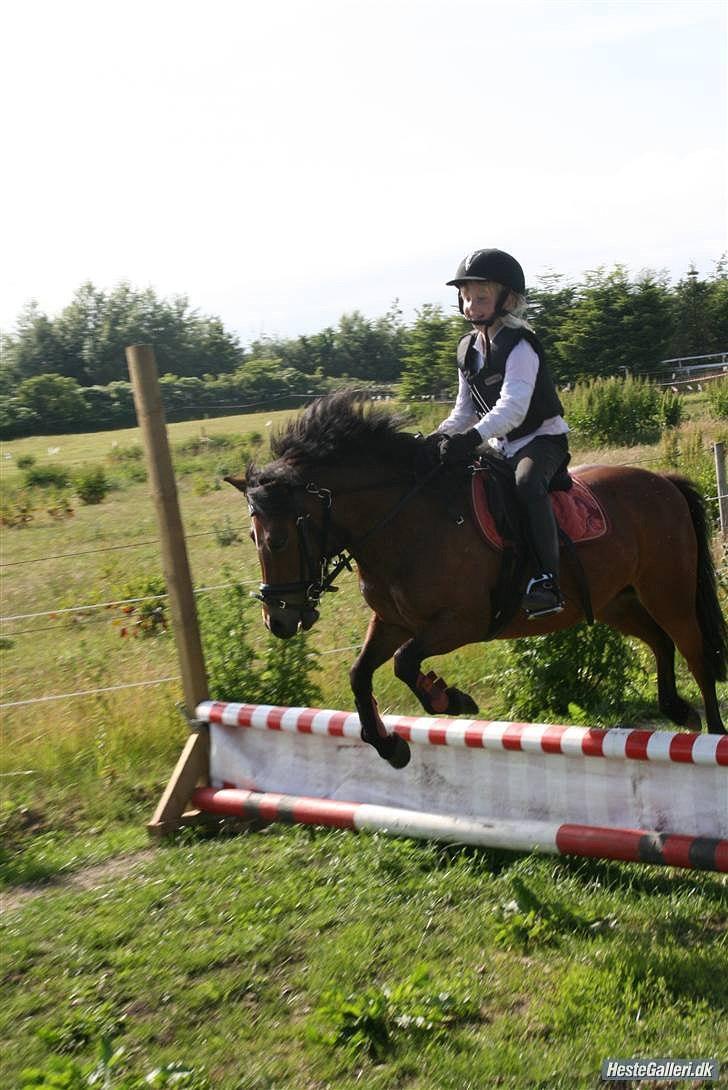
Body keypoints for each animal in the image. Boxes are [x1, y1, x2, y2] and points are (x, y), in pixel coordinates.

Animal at [225, 390, 723, 767]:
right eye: (252, 537)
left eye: (278, 541)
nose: (279, 621)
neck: (405, 520)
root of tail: (664, 481)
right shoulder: (392, 622)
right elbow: (360, 674)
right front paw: (390, 745)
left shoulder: (461, 623)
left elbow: (404, 662)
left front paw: (448, 700)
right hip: (614, 601)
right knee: (660, 641)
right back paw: (677, 710)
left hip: (668, 592)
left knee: (695, 652)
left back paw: (715, 733)